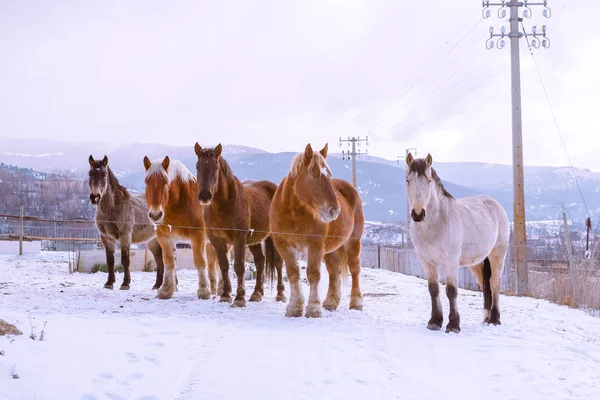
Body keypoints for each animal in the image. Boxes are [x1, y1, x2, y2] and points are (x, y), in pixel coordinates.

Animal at [86, 155, 168, 290]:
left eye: (104, 174)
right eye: (90, 173)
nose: (95, 197)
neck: (113, 207)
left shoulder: (125, 236)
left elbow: (125, 260)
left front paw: (125, 284)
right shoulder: (106, 237)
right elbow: (110, 260)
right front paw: (109, 283)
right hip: (153, 242)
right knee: (160, 261)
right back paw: (157, 285)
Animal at [142, 156, 219, 300]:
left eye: (166, 182)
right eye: (147, 181)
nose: (155, 214)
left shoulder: (197, 236)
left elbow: (200, 261)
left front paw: (204, 291)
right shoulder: (165, 237)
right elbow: (169, 262)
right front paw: (166, 290)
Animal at [193, 142, 284, 308]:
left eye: (216, 167)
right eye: (198, 166)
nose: (204, 196)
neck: (224, 205)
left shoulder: (239, 238)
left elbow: (239, 267)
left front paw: (239, 298)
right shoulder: (216, 240)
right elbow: (224, 266)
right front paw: (225, 295)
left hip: (275, 236)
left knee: (278, 263)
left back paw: (280, 295)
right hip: (254, 240)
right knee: (260, 261)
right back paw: (256, 294)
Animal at [270, 142, 364, 318]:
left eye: (329, 174)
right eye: (314, 174)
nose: (334, 210)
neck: (293, 214)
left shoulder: (315, 245)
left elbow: (313, 274)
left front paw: (313, 308)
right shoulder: (284, 245)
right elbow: (293, 273)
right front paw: (294, 307)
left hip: (353, 242)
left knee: (354, 269)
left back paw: (356, 302)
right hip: (329, 249)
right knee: (334, 270)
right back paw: (330, 302)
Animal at [406, 152, 508, 332]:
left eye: (428, 180)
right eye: (408, 180)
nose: (418, 214)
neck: (436, 223)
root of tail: (495, 204)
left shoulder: (451, 261)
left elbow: (451, 290)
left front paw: (453, 325)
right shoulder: (426, 261)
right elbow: (433, 289)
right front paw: (434, 321)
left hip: (498, 255)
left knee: (494, 283)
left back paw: (494, 319)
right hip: (477, 263)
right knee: (485, 285)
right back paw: (486, 318)